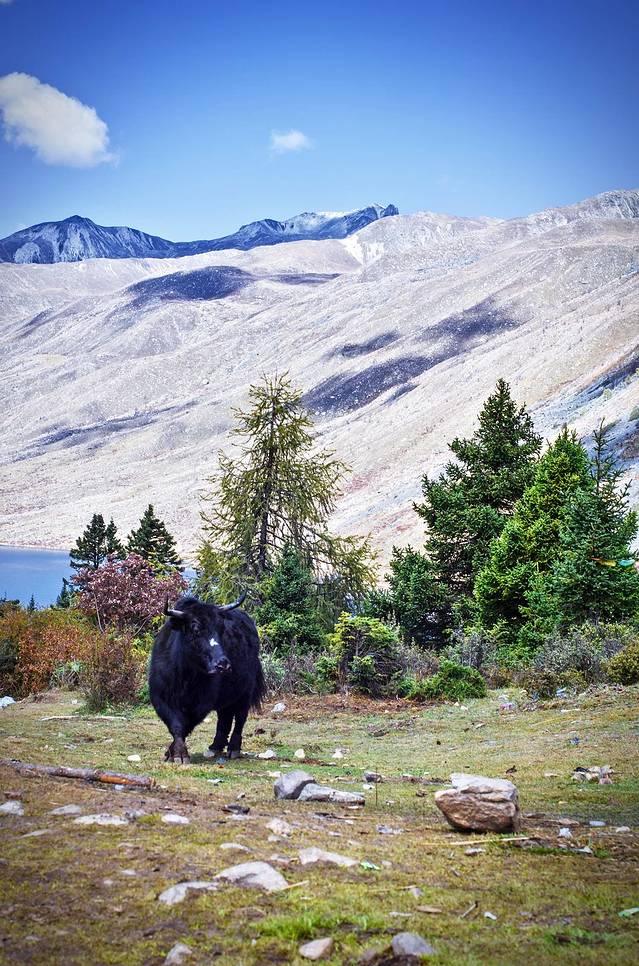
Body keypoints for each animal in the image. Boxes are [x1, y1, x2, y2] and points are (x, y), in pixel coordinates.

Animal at [149, 593, 265, 763]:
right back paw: (215, 747)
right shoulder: (161, 699)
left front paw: (177, 753)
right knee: (225, 718)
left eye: (222, 629)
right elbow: (176, 725)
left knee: (239, 719)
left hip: (245, 693)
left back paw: (233, 749)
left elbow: (185, 725)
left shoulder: (201, 703)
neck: (184, 675)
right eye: (195, 629)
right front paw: (174, 753)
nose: (223, 664)